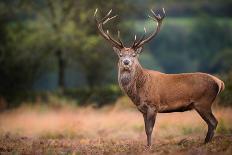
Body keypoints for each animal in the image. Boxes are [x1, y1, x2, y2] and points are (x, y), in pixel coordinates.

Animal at [94, 8, 225, 147]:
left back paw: (206, 144)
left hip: (203, 102)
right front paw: (147, 146)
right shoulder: (142, 109)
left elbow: (150, 129)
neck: (139, 91)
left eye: (134, 55)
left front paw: (150, 146)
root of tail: (219, 82)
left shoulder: (153, 105)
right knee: (212, 123)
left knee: (213, 122)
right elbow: (145, 129)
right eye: (120, 55)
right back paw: (205, 143)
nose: (126, 62)